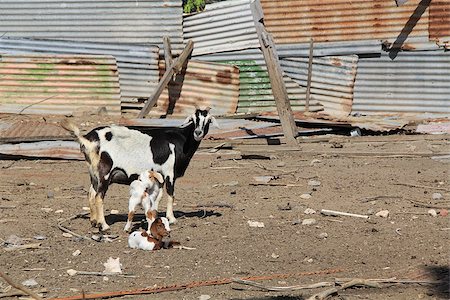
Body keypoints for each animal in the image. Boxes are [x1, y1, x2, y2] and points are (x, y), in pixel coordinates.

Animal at [60, 108, 219, 232]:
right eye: (194, 119)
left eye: (208, 120)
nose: (198, 132)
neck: (181, 139)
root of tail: (88, 139)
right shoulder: (169, 173)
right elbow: (171, 195)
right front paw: (172, 218)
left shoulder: (160, 176)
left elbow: (158, 197)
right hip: (104, 173)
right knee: (99, 197)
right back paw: (104, 226)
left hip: (94, 174)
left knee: (91, 194)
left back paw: (94, 221)